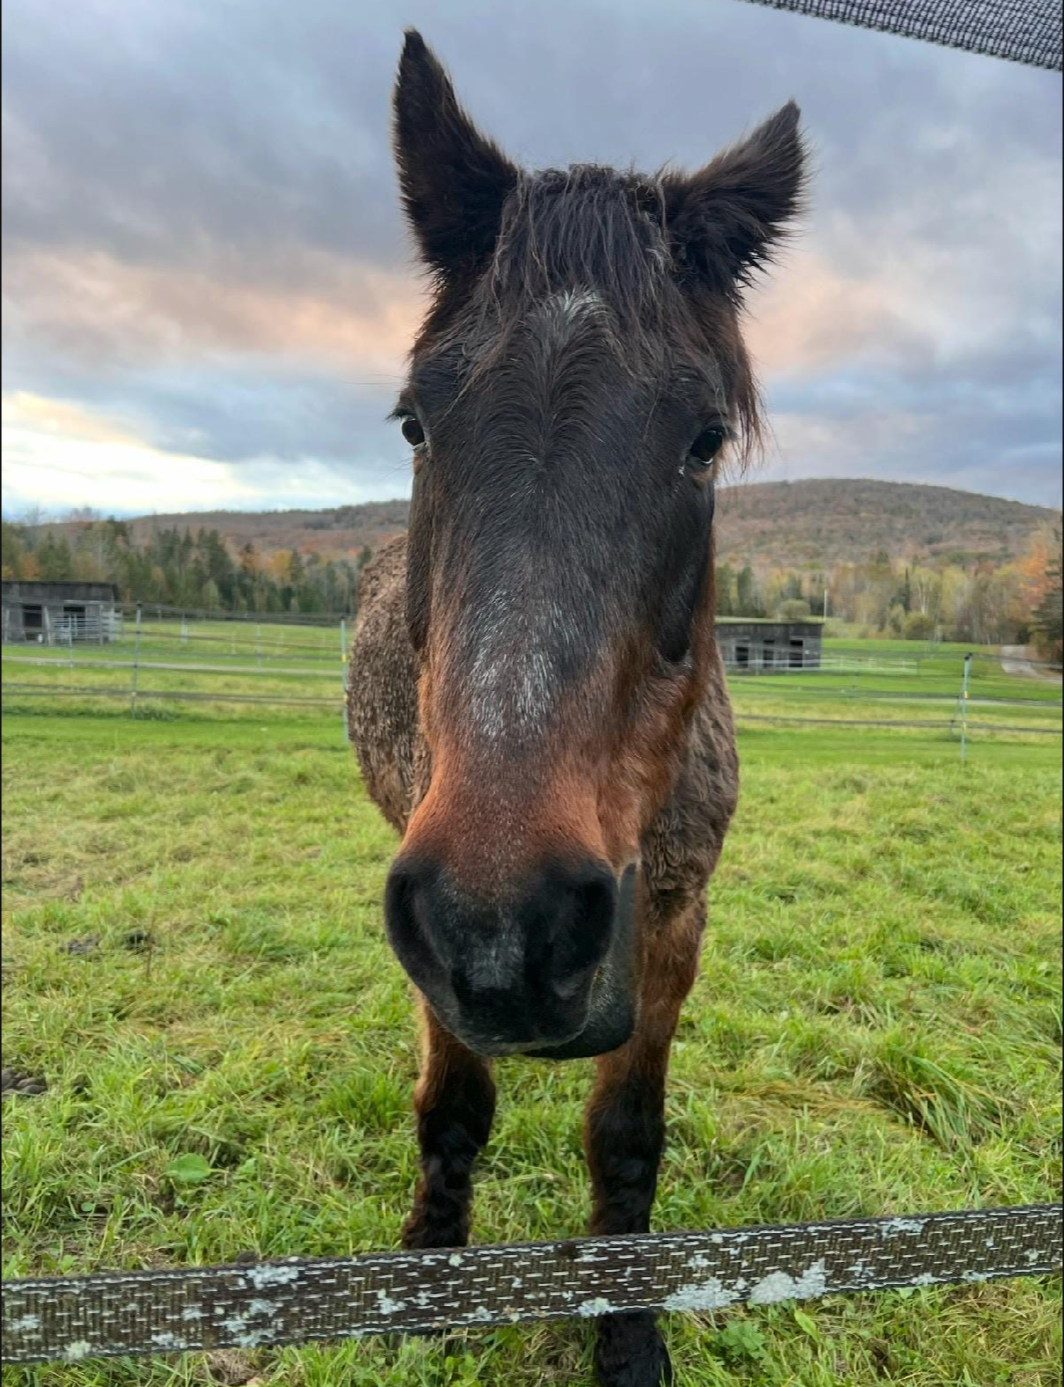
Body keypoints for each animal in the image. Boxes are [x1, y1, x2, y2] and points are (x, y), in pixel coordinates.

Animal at [347, 30, 805, 1387]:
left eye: (702, 439)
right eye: (416, 420)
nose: (510, 925)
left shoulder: (671, 923)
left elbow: (625, 1137)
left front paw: (626, 1333)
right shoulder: (430, 933)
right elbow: (453, 1102)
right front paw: (427, 1281)